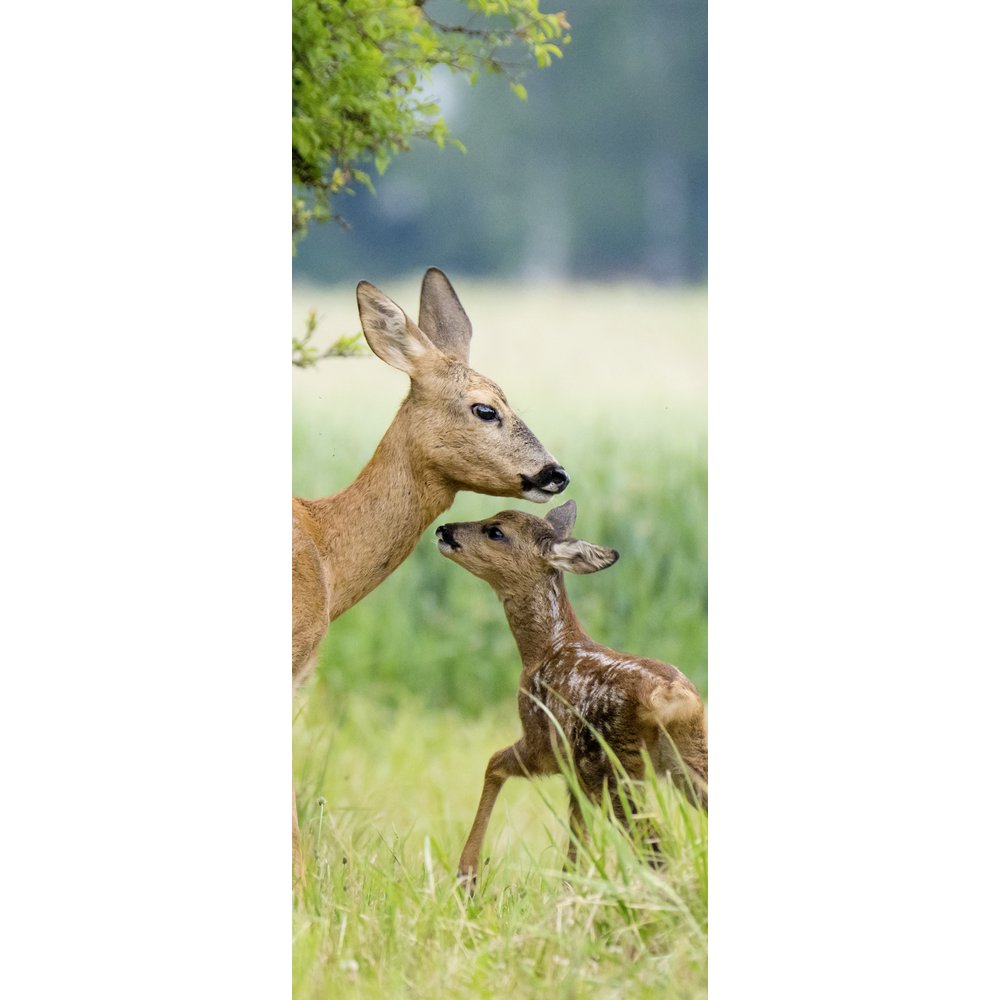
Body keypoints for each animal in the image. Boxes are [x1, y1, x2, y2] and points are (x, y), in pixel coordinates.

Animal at [435, 500, 707, 890]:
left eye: (496, 531)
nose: (445, 530)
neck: (543, 650)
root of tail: (671, 698)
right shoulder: (573, 776)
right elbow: (577, 844)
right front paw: (567, 894)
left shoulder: (541, 742)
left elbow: (493, 763)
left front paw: (467, 873)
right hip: (687, 757)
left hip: (612, 766)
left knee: (654, 848)